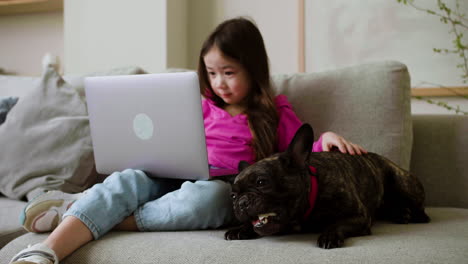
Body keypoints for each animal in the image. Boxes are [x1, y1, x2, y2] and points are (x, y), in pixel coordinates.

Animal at [225, 123, 430, 248]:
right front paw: (241, 229)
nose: (241, 203)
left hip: (402, 183)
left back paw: (411, 214)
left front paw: (329, 235)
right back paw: (400, 213)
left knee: (418, 207)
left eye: (262, 182)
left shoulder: (359, 216)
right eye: (233, 196)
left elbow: (337, 224)